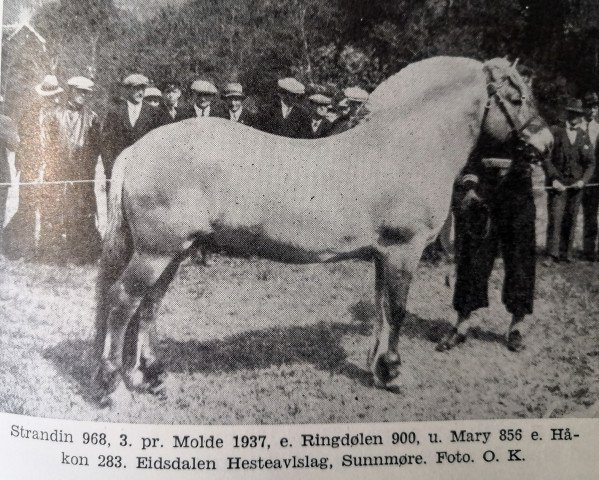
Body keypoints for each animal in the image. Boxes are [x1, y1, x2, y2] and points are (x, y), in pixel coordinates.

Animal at [94, 57, 552, 402]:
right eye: (516, 98)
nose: (545, 144)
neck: (404, 147)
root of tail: (138, 149)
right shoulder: (404, 251)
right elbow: (398, 310)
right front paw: (394, 372)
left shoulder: (384, 255)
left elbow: (381, 309)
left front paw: (376, 369)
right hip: (155, 252)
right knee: (122, 302)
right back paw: (112, 381)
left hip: (174, 252)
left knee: (149, 306)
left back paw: (152, 376)